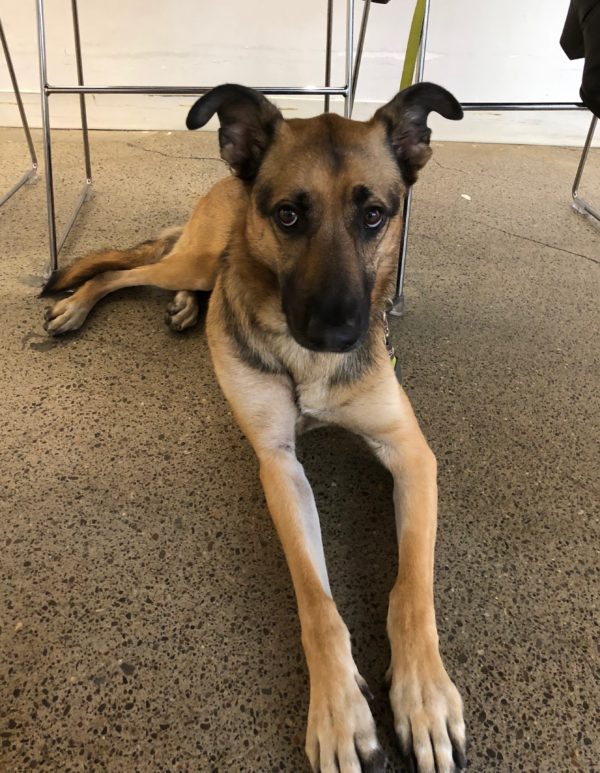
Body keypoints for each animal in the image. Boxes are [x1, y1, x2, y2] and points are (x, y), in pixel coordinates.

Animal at [44, 84, 466, 772]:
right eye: (289, 215)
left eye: (374, 215)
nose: (335, 332)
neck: (307, 363)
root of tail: (225, 182)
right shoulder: (279, 464)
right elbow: (318, 603)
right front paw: (339, 713)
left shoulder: (410, 452)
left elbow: (412, 590)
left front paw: (424, 697)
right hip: (189, 259)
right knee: (121, 273)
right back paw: (78, 304)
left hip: (196, 265)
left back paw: (188, 308)